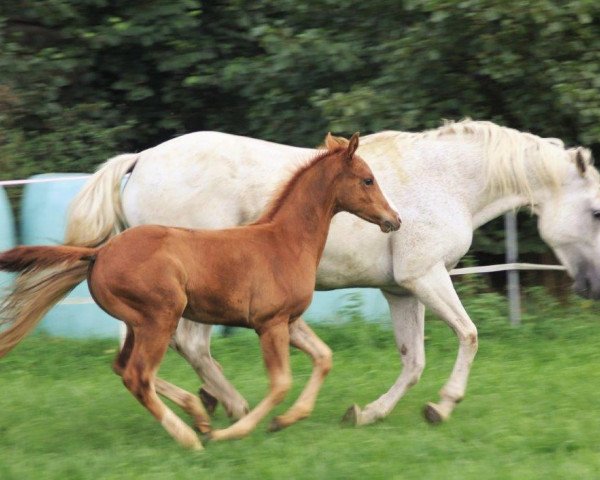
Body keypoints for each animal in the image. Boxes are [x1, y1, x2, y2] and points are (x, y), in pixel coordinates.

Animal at [1, 132, 404, 450]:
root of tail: (99, 252)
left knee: (123, 367)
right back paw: (192, 436)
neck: (284, 241)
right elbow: (280, 383)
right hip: (160, 318)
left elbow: (324, 357)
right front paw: (237, 431)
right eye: (368, 180)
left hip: (136, 324)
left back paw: (198, 414)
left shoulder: (289, 321)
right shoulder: (270, 324)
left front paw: (283, 421)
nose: (395, 219)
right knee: (139, 375)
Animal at [67, 121, 600, 428]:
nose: (592, 287)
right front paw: (443, 406)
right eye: (596, 212)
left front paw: (366, 413)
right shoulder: (426, 278)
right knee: (188, 347)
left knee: (138, 358)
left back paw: (207, 406)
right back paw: (233, 410)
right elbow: (468, 335)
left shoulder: (401, 292)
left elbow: (413, 360)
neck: (447, 182)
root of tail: (139, 160)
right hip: (188, 298)